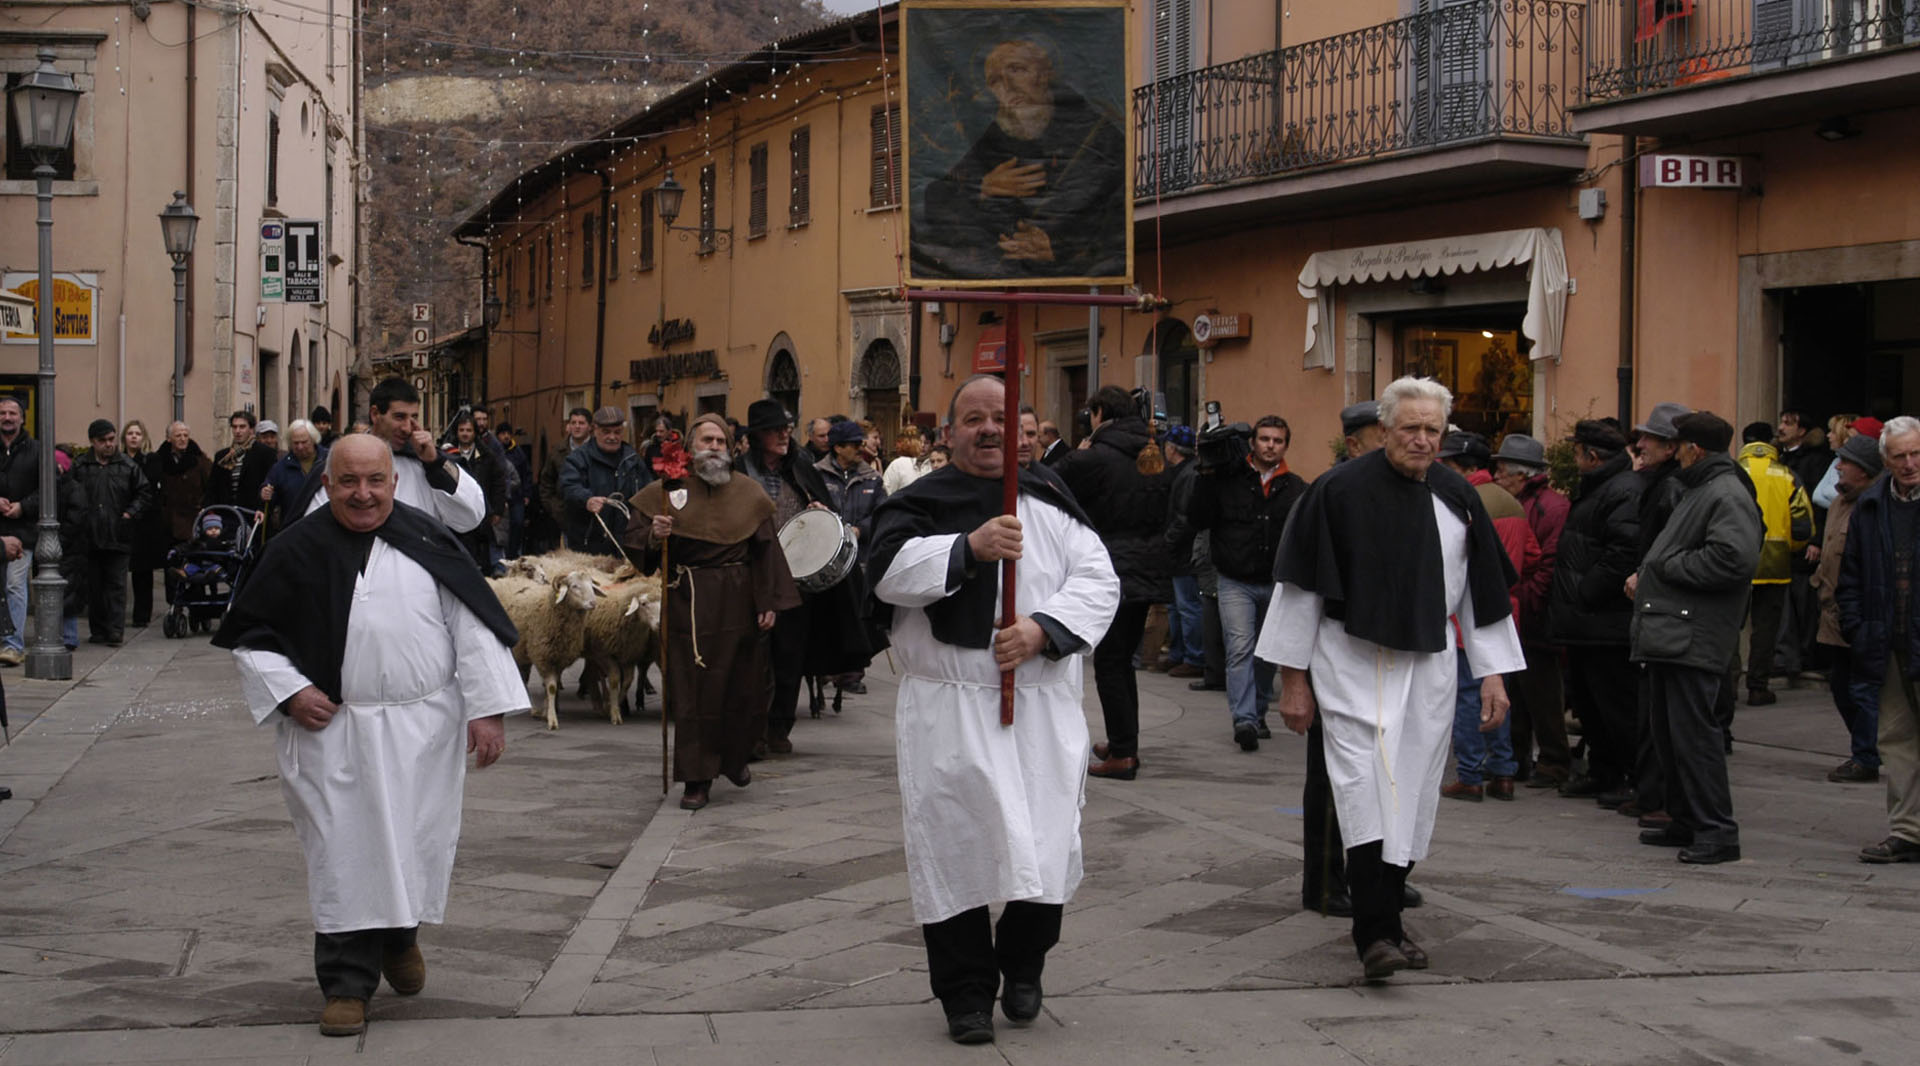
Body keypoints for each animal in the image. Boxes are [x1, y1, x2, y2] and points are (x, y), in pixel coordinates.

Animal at [483, 568, 595, 733]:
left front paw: (546, 711)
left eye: (591, 585)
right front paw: (552, 720)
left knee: (522, 678)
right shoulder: (543, 656)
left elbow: (552, 686)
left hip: (520, 650)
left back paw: (532, 708)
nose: (593, 603)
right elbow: (552, 687)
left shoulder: (558, 658)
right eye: (574, 586)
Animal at [579, 576, 664, 726]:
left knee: (593, 672)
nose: (660, 624)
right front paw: (614, 713)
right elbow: (614, 679)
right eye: (643, 603)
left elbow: (627, 681)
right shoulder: (605, 654)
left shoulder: (627, 655)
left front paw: (616, 705)